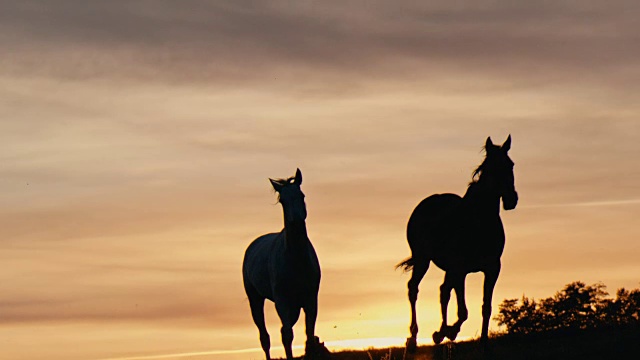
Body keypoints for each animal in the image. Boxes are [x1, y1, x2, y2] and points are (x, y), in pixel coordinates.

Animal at [242, 169, 328, 360]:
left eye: (302, 195)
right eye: (282, 200)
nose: (296, 220)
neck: (296, 260)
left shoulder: (311, 299)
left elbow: (309, 334)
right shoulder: (282, 301)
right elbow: (287, 335)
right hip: (255, 299)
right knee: (265, 337)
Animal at [400, 135, 520, 352]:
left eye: (511, 164)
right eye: (491, 167)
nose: (511, 200)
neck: (480, 222)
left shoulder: (492, 268)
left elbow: (486, 307)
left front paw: (483, 342)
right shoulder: (460, 269)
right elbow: (463, 311)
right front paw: (450, 332)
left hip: (447, 268)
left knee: (443, 291)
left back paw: (438, 333)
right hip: (423, 260)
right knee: (414, 288)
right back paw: (413, 339)